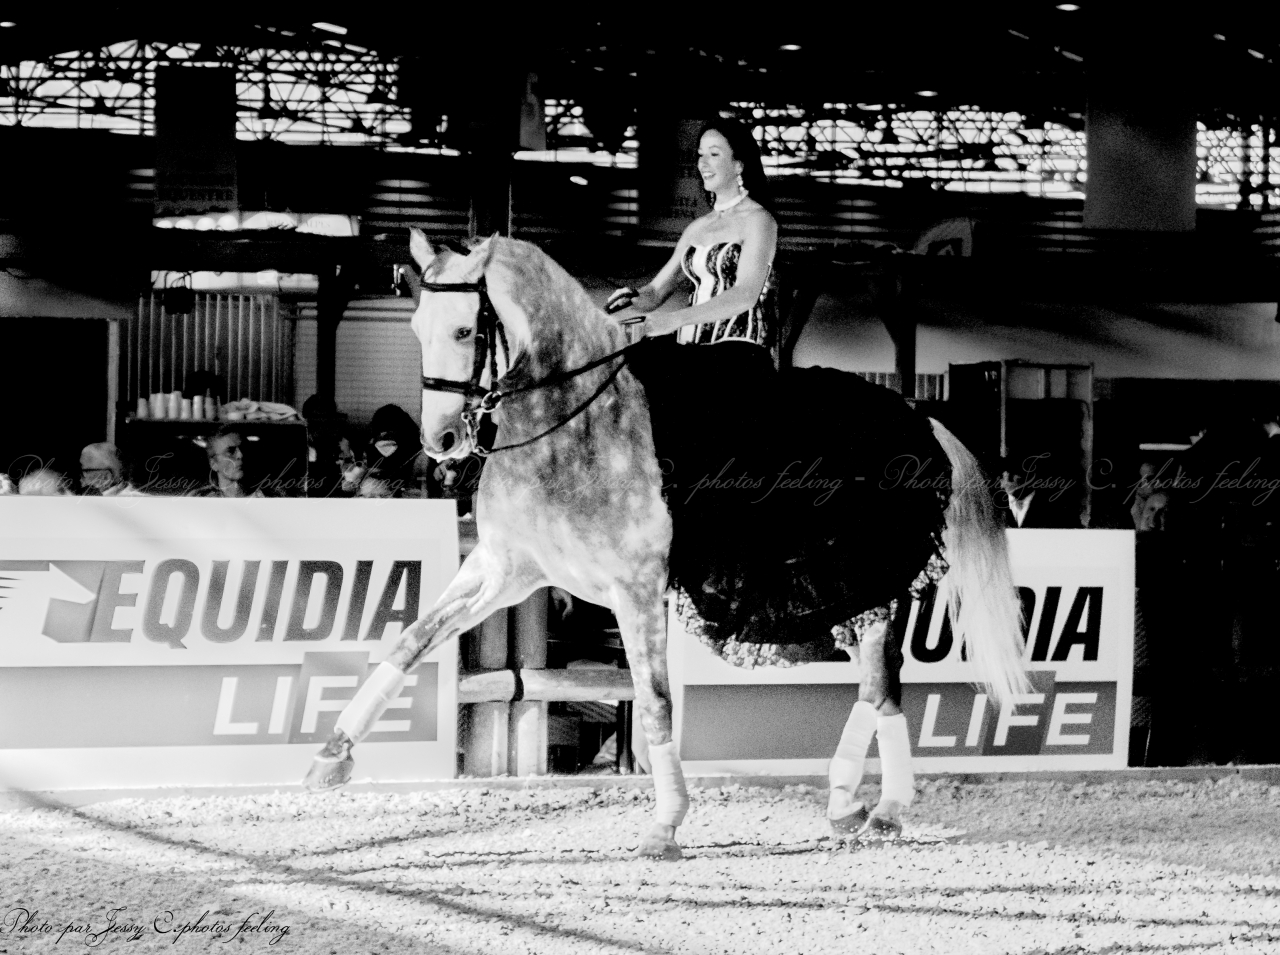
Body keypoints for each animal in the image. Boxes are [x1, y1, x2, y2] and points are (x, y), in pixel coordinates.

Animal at [303, 231, 1030, 860]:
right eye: (415, 328)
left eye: (464, 330)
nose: (442, 441)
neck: (575, 423)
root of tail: (920, 417)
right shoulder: (505, 567)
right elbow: (411, 639)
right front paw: (331, 757)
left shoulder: (636, 588)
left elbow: (653, 701)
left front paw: (665, 824)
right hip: (844, 599)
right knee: (876, 688)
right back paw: (854, 807)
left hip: (866, 587)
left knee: (882, 687)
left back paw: (878, 807)